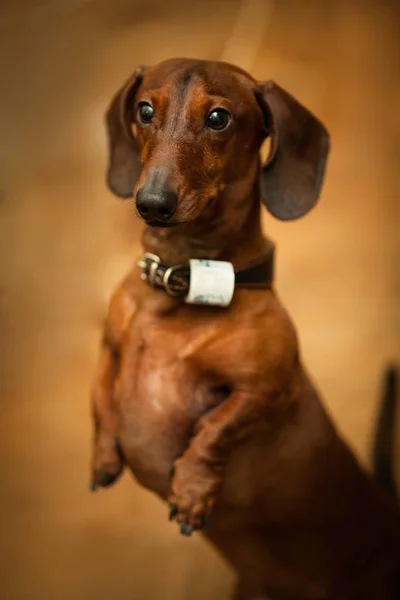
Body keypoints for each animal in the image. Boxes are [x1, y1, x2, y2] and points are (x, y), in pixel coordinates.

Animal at [90, 57, 400, 600]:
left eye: (219, 118)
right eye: (145, 110)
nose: (152, 202)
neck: (181, 286)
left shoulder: (266, 390)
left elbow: (215, 428)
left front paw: (192, 488)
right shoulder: (107, 349)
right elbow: (100, 398)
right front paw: (104, 456)